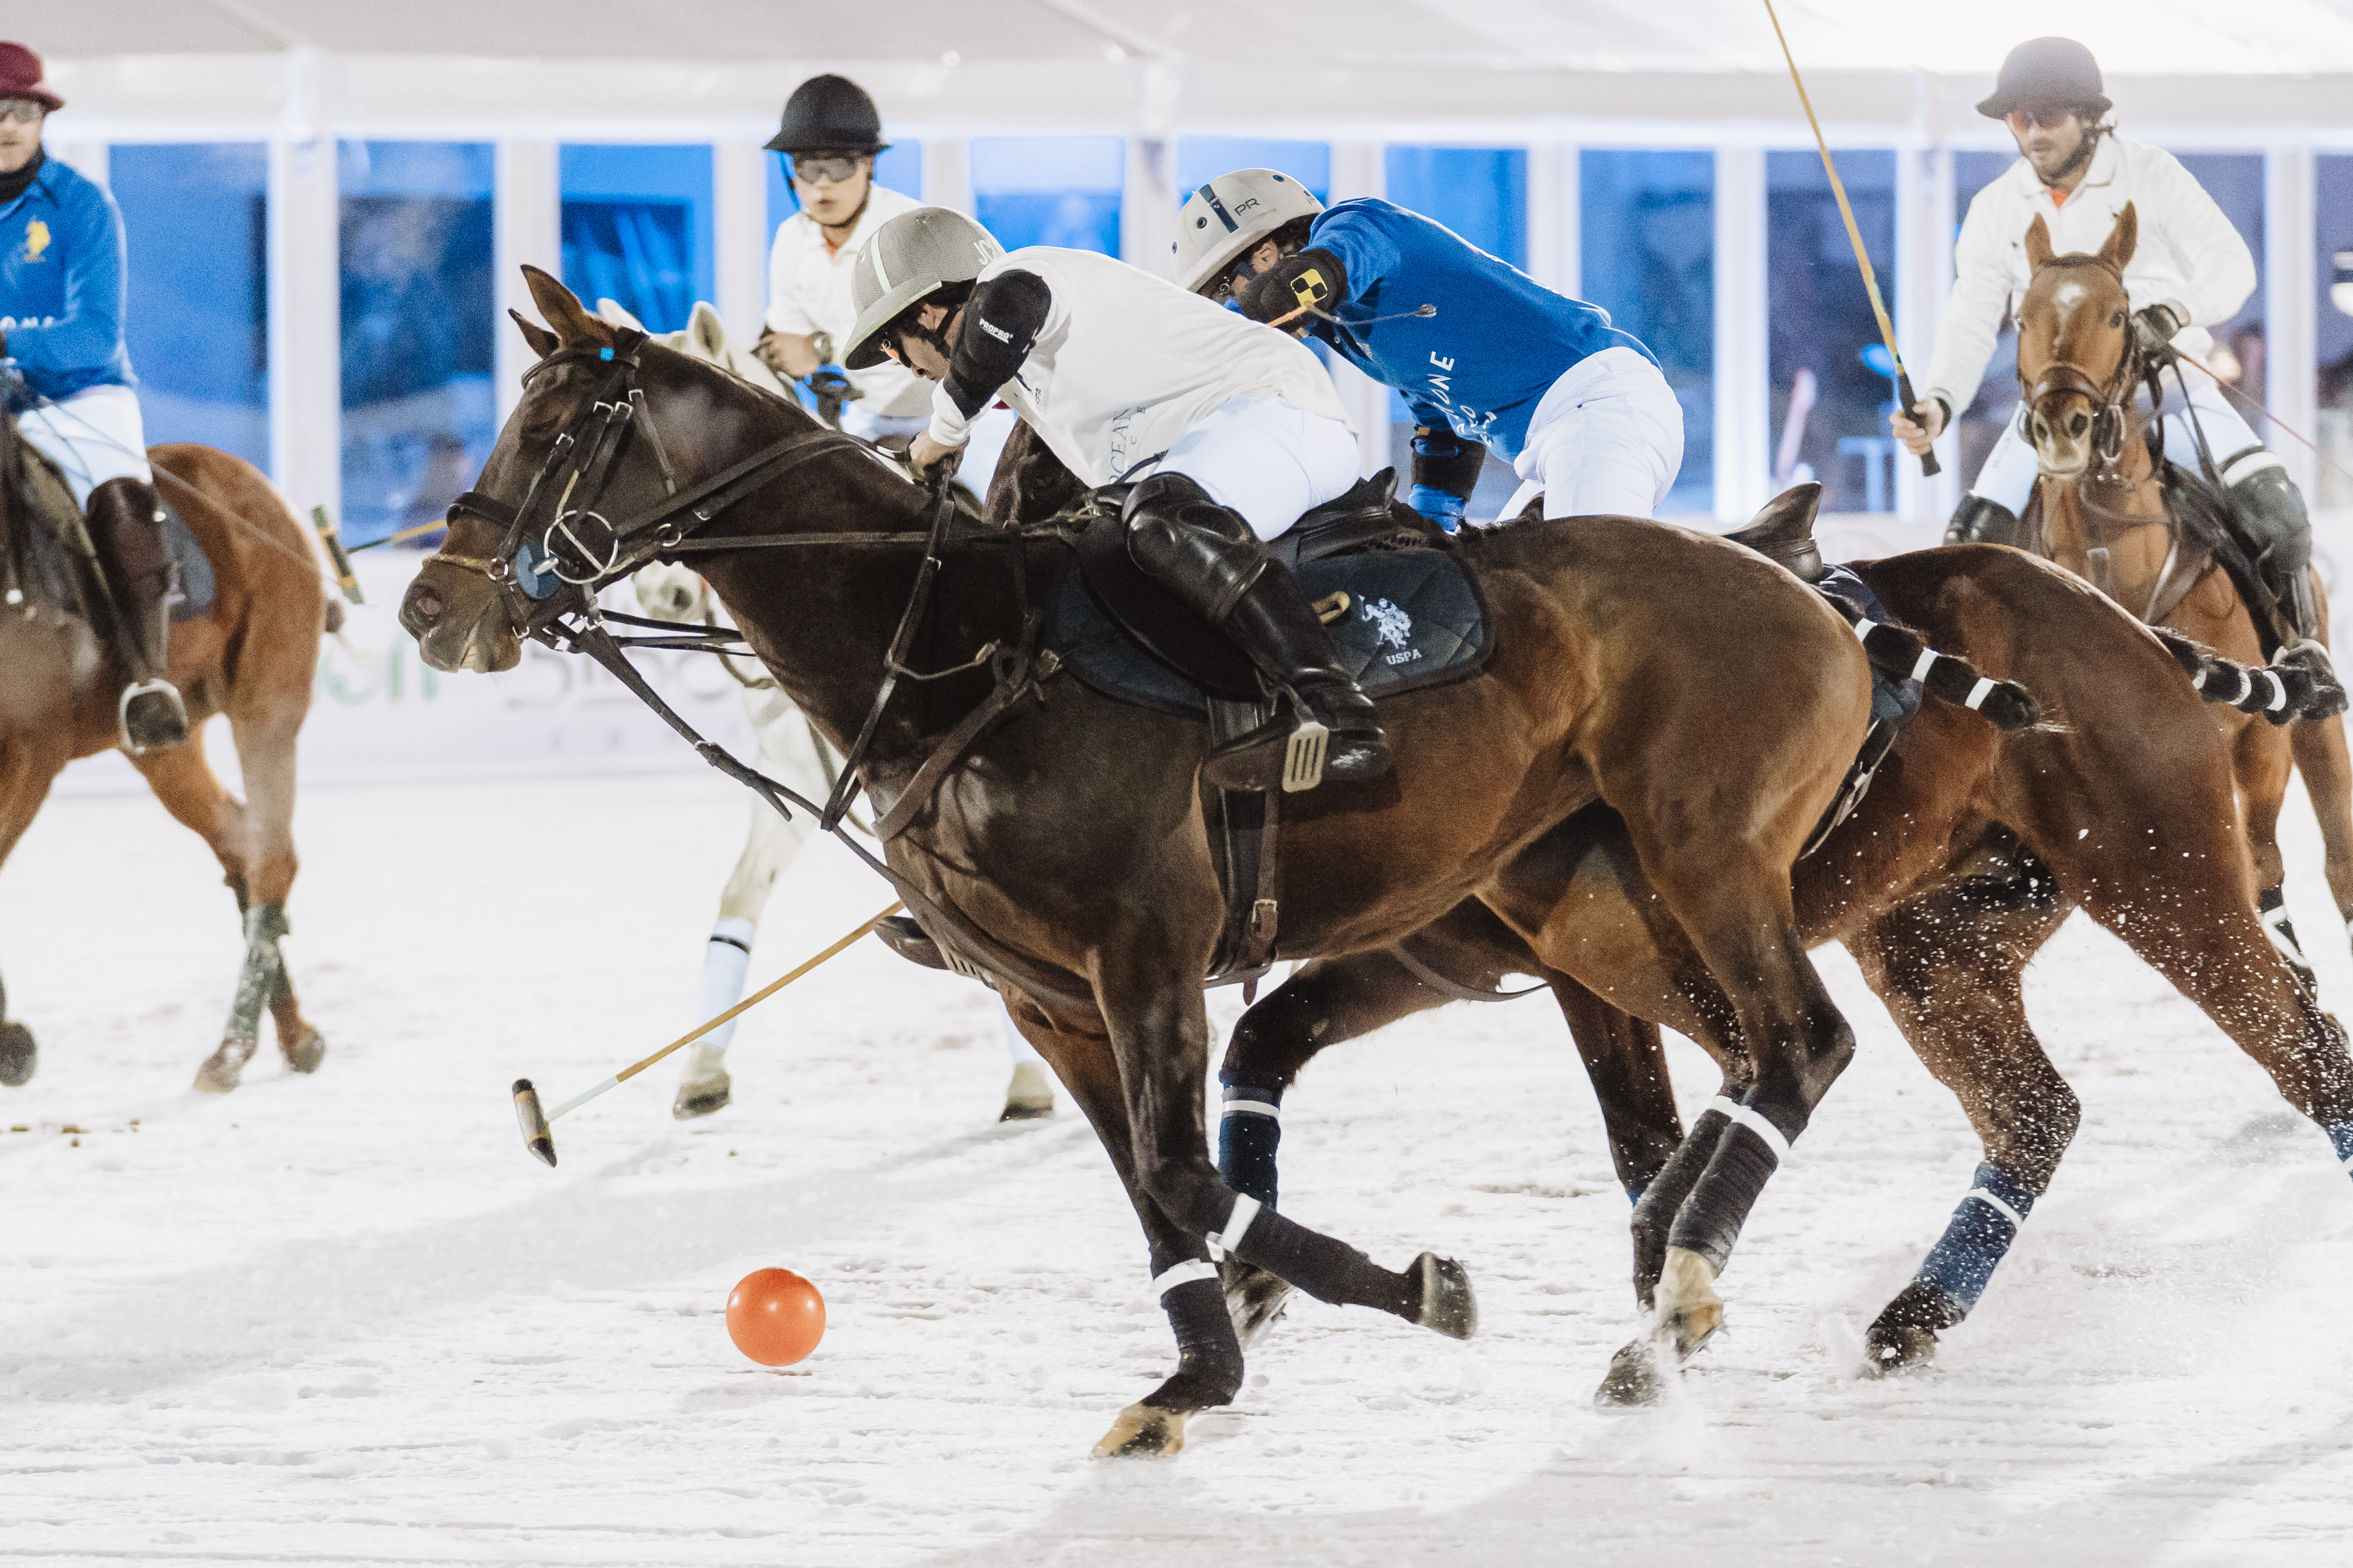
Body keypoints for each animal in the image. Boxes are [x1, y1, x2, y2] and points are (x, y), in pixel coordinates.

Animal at [0, 423, 334, 1100]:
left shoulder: (31, 755)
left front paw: (11, 1045)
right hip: (164, 744)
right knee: (239, 840)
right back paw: (291, 1036)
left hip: (268, 701)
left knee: (272, 856)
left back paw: (233, 1050)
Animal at [395, 272, 1911, 1457]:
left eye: (553, 430)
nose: (427, 607)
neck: (950, 645)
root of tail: (1807, 593)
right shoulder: (1048, 996)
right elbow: (1148, 1188)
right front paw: (1195, 1379)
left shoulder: (1146, 953)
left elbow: (1182, 1177)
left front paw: (1417, 1291)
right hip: (1588, 901)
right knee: (1732, 1061)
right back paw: (1672, 1295)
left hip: (1702, 852)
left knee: (1800, 1042)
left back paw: (1689, 1284)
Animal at [1214, 531, 2353, 1401]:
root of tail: (2131, 626)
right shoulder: (1422, 952)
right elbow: (1264, 1036)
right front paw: (1248, 1274)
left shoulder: (1638, 955)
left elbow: (1689, 1121)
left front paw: (1665, 1309)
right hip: (1930, 946)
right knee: (2034, 1109)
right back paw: (1909, 1314)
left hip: (2163, 879)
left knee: (2307, 1057)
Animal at [2004, 202, 2353, 983]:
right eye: (2021, 316)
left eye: (2117, 314)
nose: (2061, 425)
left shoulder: (2257, 744)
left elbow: (2260, 866)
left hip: (2311, 726)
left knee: (2328, 860)